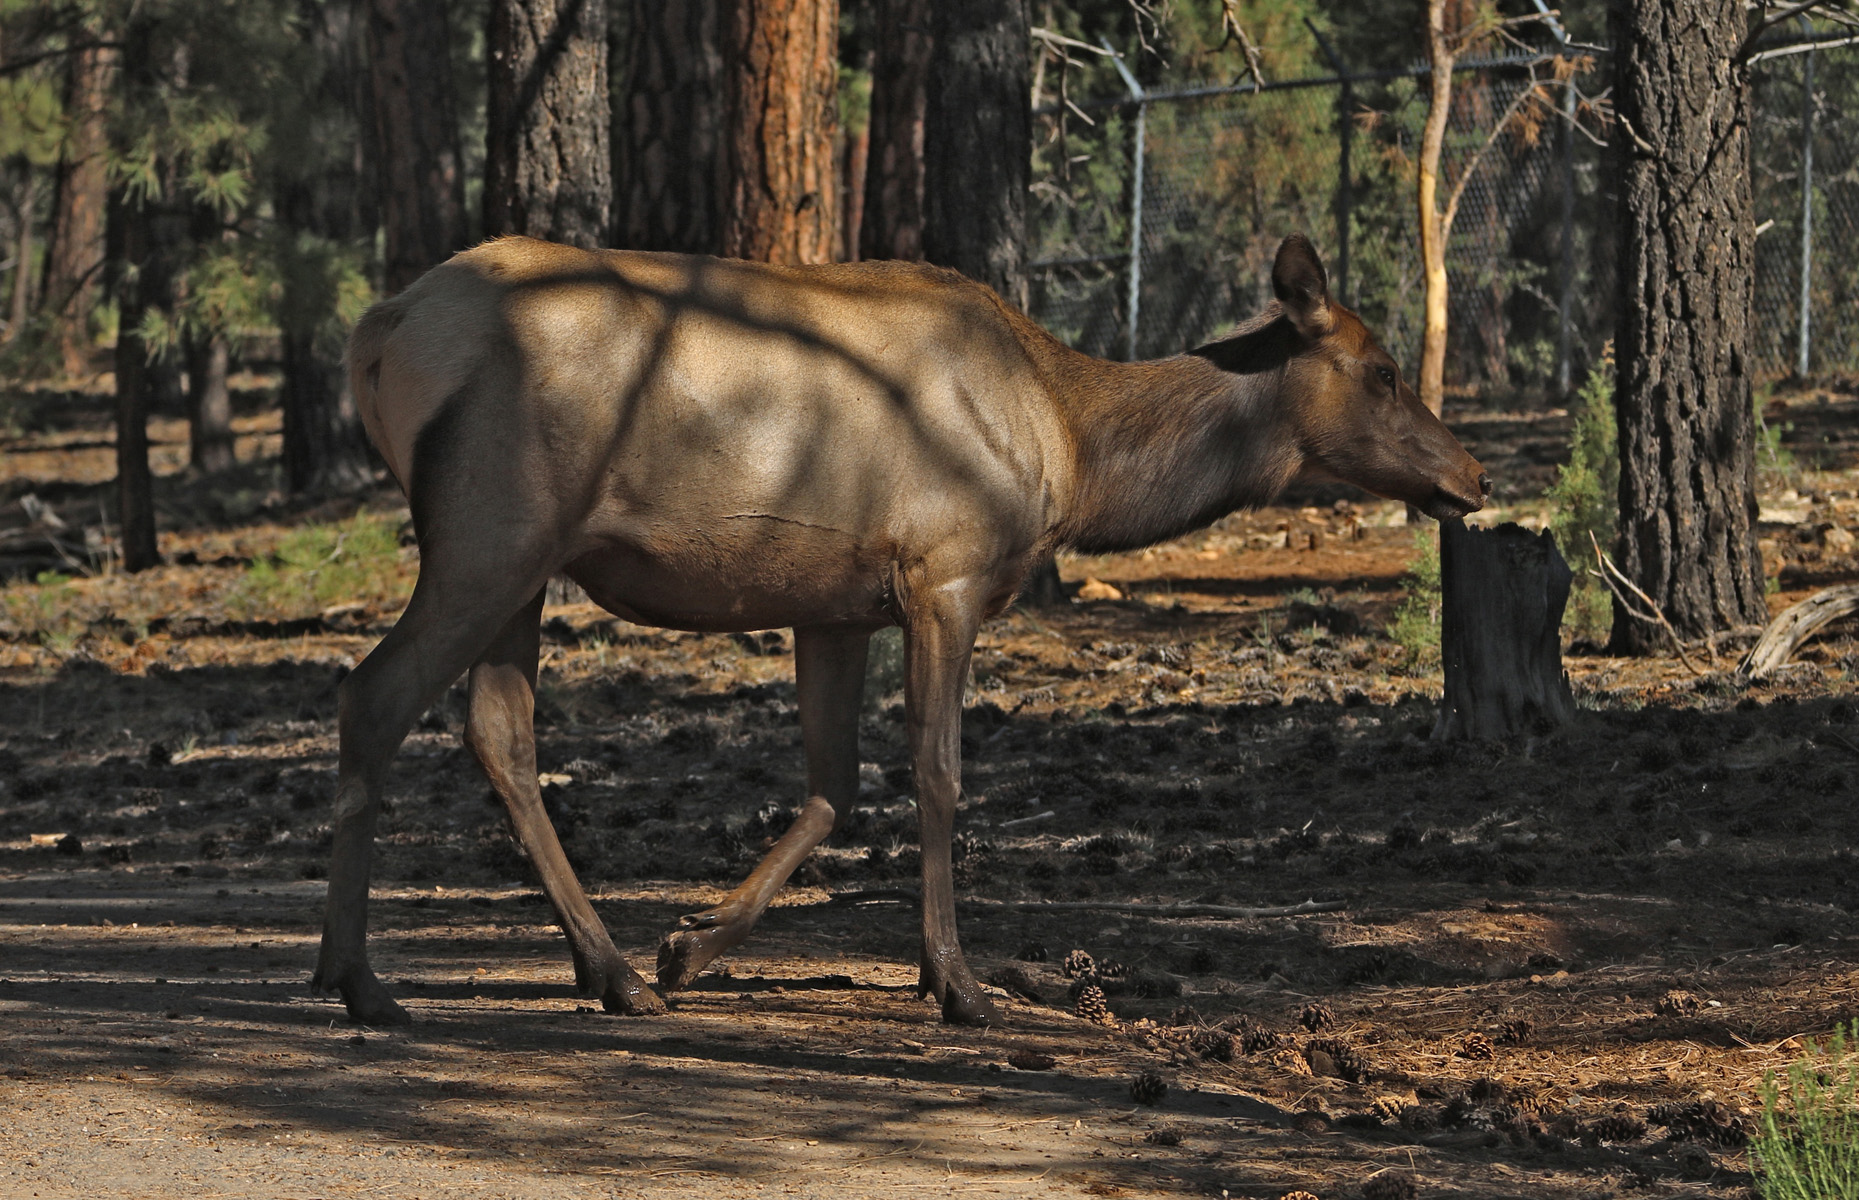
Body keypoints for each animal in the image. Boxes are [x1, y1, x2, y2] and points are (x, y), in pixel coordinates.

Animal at [313, 232, 1488, 1028]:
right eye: (1383, 371)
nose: (1471, 476)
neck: (1075, 454)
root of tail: (378, 333)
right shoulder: (945, 571)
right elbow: (936, 773)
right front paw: (957, 981)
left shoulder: (835, 604)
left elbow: (833, 782)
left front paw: (692, 944)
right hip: (491, 531)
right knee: (372, 693)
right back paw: (356, 977)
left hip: (523, 567)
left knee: (497, 732)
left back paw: (610, 971)